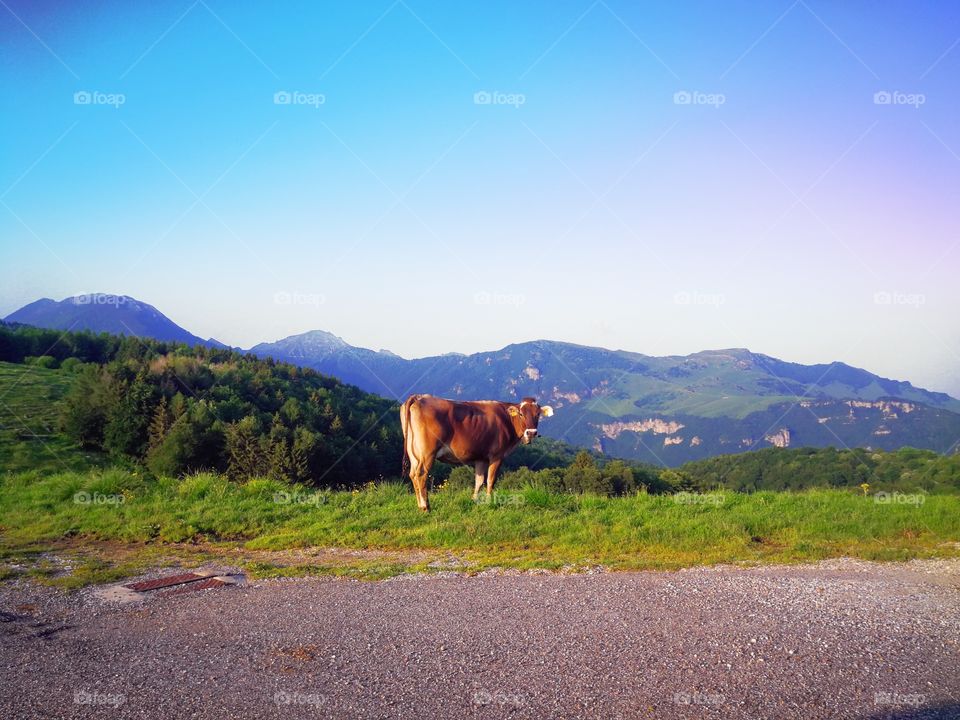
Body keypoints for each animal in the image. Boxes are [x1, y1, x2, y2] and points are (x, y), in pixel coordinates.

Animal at [400, 395, 554, 511]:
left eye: (538, 414)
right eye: (521, 414)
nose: (531, 433)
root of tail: (420, 397)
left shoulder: (481, 458)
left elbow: (479, 481)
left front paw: (474, 501)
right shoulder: (497, 455)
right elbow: (490, 480)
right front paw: (490, 501)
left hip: (415, 453)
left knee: (413, 474)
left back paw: (420, 505)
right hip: (427, 452)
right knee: (421, 474)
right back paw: (425, 507)